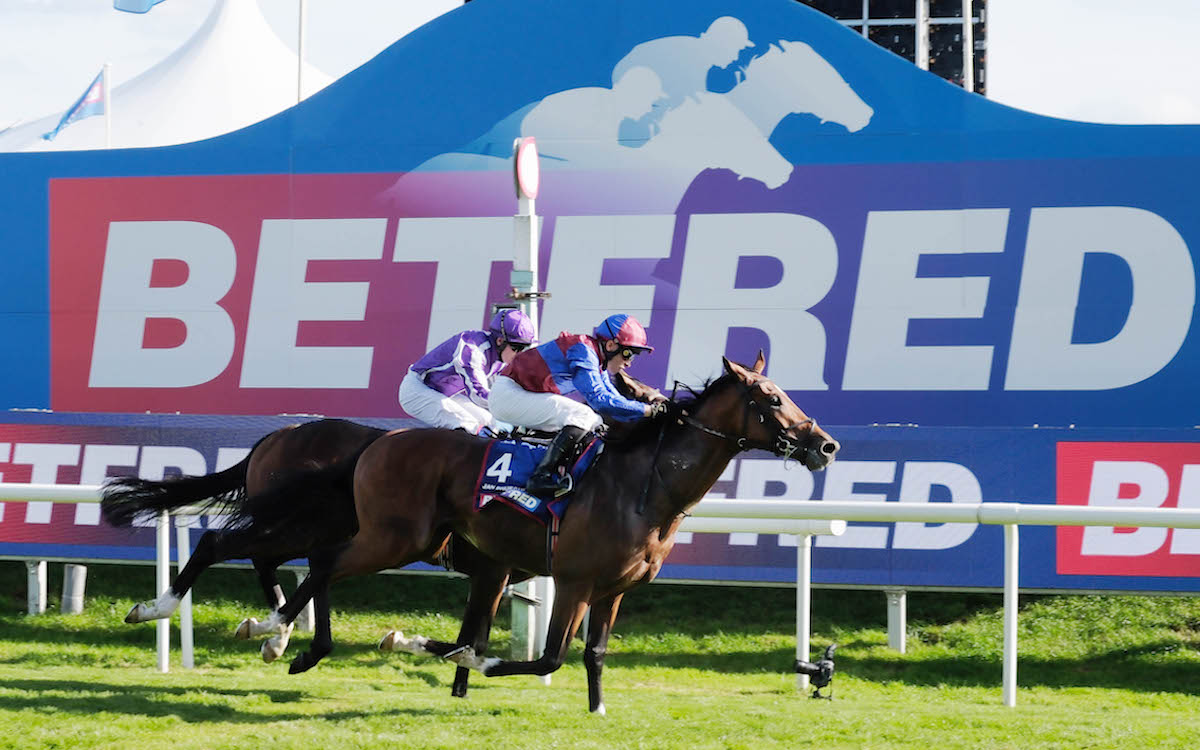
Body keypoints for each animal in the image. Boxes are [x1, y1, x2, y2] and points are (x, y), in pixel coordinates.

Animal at [104, 417, 530, 700]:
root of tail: (276, 436)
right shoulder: (493, 569)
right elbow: (474, 636)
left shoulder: (493, 573)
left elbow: (472, 636)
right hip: (321, 528)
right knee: (225, 545)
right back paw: (162, 609)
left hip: (323, 530)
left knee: (284, 564)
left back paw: (280, 639)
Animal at [242, 352, 840, 710]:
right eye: (771, 399)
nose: (826, 444)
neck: (645, 488)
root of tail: (377, 442)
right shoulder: (573, 581)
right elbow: (543, 656)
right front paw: (449, 653)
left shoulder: (613, 588)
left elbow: (593, 653)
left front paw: (598, 710)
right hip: (394, 538)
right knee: (324, 562)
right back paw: (277, 634)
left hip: (409, 540)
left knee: (322, 562)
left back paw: (288, 639)